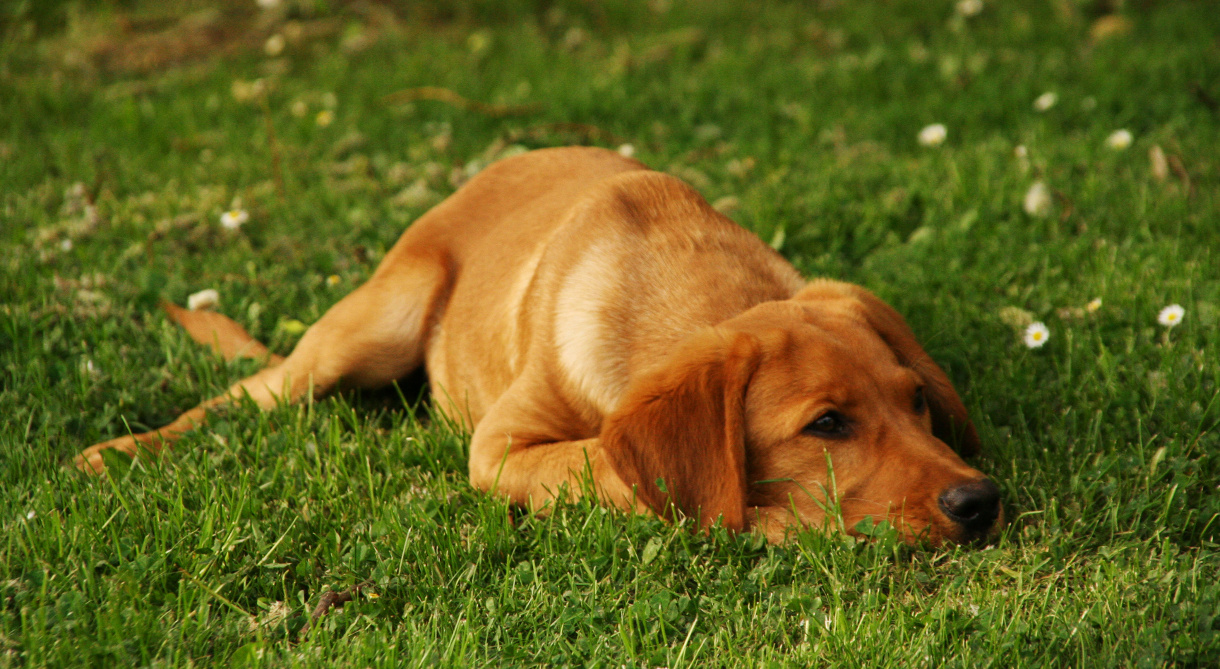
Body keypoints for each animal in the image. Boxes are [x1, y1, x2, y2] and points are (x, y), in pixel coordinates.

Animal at [81, 145, 1005, 544]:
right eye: (826, 425)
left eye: (919, 401)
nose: (981, 501)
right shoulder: (499, 447)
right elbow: (605, 464)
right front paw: (782, 520)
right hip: (370, 325)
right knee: (253, 391)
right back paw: (123, 449)